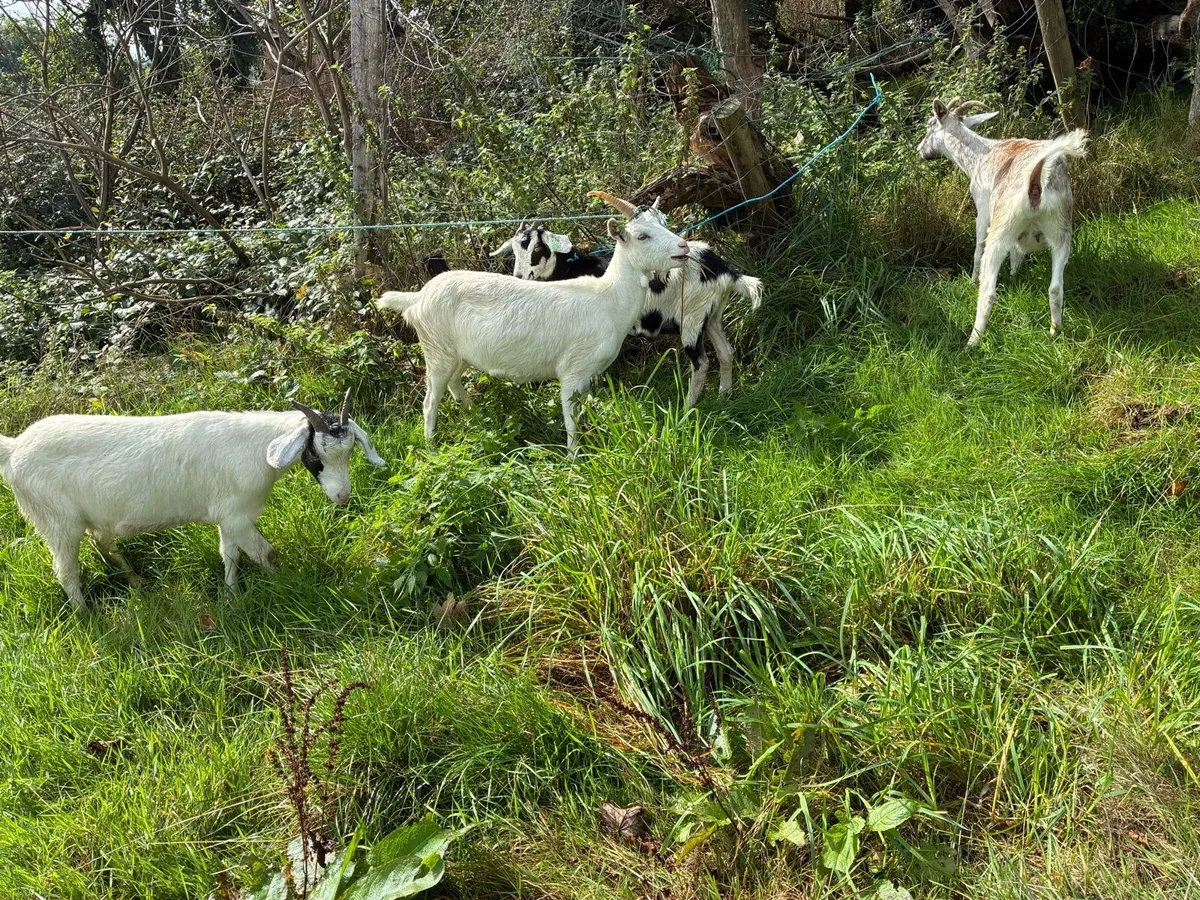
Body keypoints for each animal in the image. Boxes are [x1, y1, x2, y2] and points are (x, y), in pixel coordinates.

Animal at [0, 393, 385, 609]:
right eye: (316, 453)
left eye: (350, 450)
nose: (342, 496)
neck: (255, 450)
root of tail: (15, 449)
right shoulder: (238, 517)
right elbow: (266, 554)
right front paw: (288, 586)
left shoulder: (228, 515)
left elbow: (229, 555)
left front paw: (232, 597)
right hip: (57, 521)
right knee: (67, 572)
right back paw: (86, 615)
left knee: (103, 544)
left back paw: (137, 583)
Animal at [375, 191, 690, 454]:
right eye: (642, 236)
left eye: (663, 222)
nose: (684, 246)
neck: (608, 298)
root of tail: (418, 297)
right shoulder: (572, 371)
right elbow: (571, 420)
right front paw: (574, 458)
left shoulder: (589, 375)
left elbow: (584, 412)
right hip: (437, 350)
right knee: (430, 402)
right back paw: (431, 448)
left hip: (456, 355)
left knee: (453, 384)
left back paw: (475, 415)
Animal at [491, 203, 764, 408]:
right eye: (513, 249)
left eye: (538, 247)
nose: (520, 276)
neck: (569, 268)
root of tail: (723, 269)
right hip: (712, 314)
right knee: (726, 352)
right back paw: (725, 395)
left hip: (692, 317)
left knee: (701, 363)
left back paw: (688, 407)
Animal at [917, 97, 1088, 346]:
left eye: (930, 126)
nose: (919, 150)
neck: (980, 156)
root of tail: (1037, 180)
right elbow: (1017, 254)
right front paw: (1015, 277)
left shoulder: (983, 208)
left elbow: (977, 249)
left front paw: (971, 280)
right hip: (1061, 229)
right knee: (1056, 289)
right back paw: (1055, 331)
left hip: (1001, 228)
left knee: (988, 292)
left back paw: (972, 342)